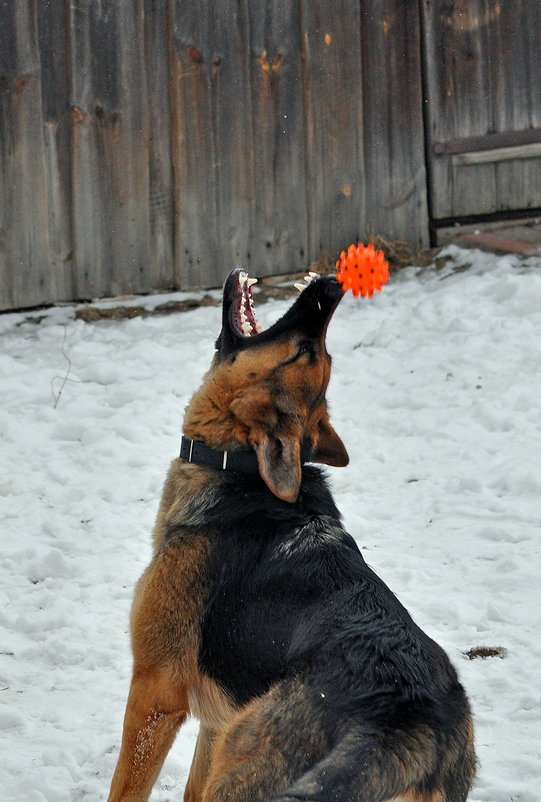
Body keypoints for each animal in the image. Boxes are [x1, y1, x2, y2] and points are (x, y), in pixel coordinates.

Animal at [107, 268, 474, 800]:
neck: (241, 470)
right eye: (312, 352)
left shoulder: (156, 694)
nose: (335, 284)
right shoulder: (216, 721)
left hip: (242, 758)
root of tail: (407, 722)